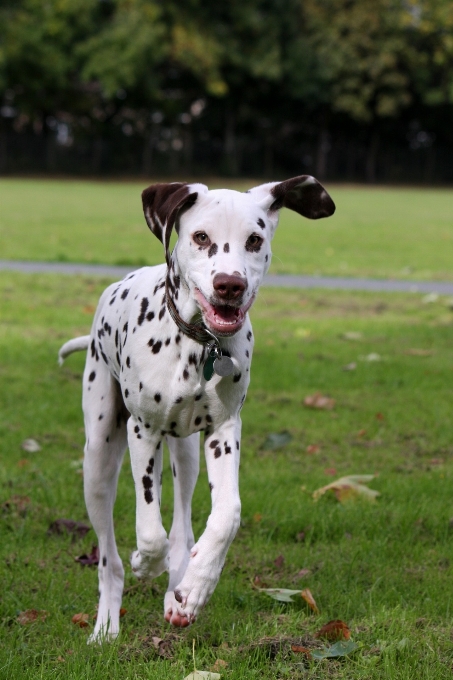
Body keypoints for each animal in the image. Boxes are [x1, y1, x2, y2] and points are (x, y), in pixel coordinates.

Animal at [58, 174, 334, 636]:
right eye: (201, 237)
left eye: (255, 240)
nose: (230, 285)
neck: (198, 344)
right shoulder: (143, 431)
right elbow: (148, 529)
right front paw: (145, 562)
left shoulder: (224, 432)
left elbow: (227, 516)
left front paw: (197, 586)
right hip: (98, 459)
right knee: (109, 558)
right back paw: (106, 625)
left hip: (185, 455)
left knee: (182, 529)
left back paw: (178, 590)